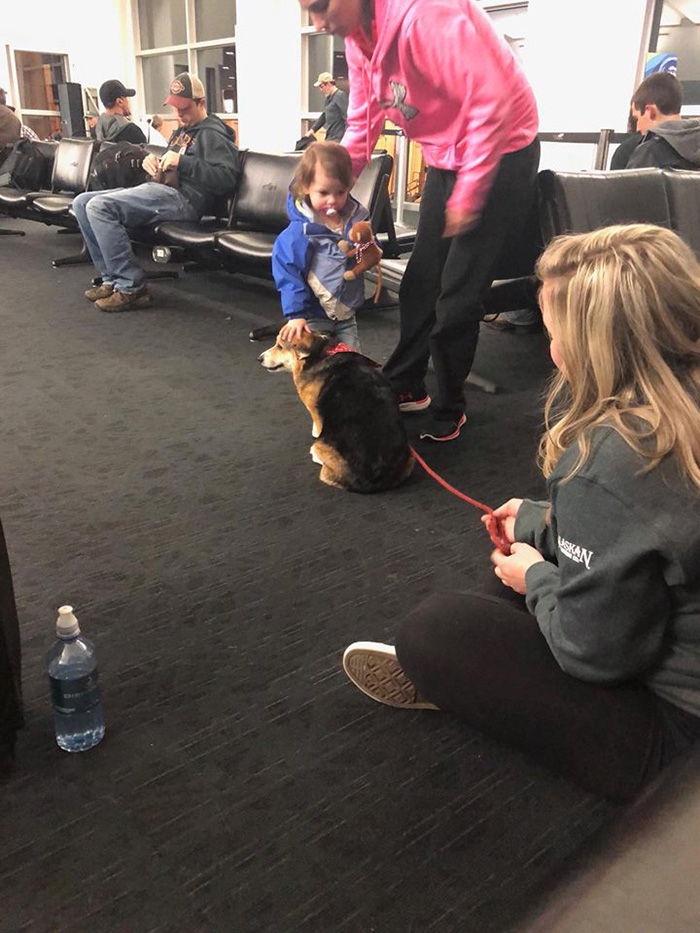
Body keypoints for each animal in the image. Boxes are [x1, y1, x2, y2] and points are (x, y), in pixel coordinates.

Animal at [262, 334, 416, 496]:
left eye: (279, 346)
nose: (259, 358)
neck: (319, 353)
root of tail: (374, 479)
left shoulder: (315, 411)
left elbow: (317, 425)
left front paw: (314, 432)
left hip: (321, 445)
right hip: (410, 460)